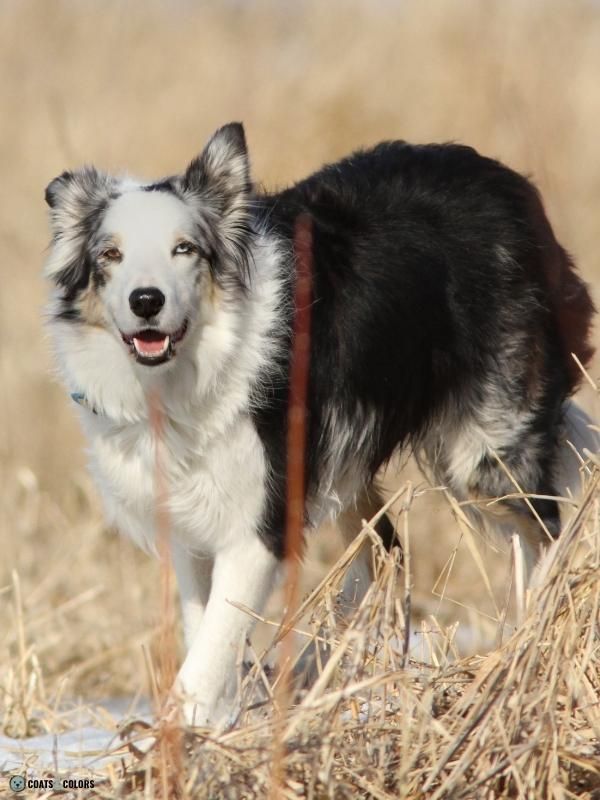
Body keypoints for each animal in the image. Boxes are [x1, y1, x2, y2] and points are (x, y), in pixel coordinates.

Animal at [43, 123, 596, 724]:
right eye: (110, 254)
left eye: (184, 248)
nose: (146, 301)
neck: (185, 373)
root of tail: (510, 183)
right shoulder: (188, 521)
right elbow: (204, 630)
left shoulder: (259, 520)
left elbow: (209, 650)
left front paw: (181, 733)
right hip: (344, 456)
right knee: (386, 550)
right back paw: (317, 670)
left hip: (487, 453)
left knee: (543, 536)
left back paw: (530, 649)